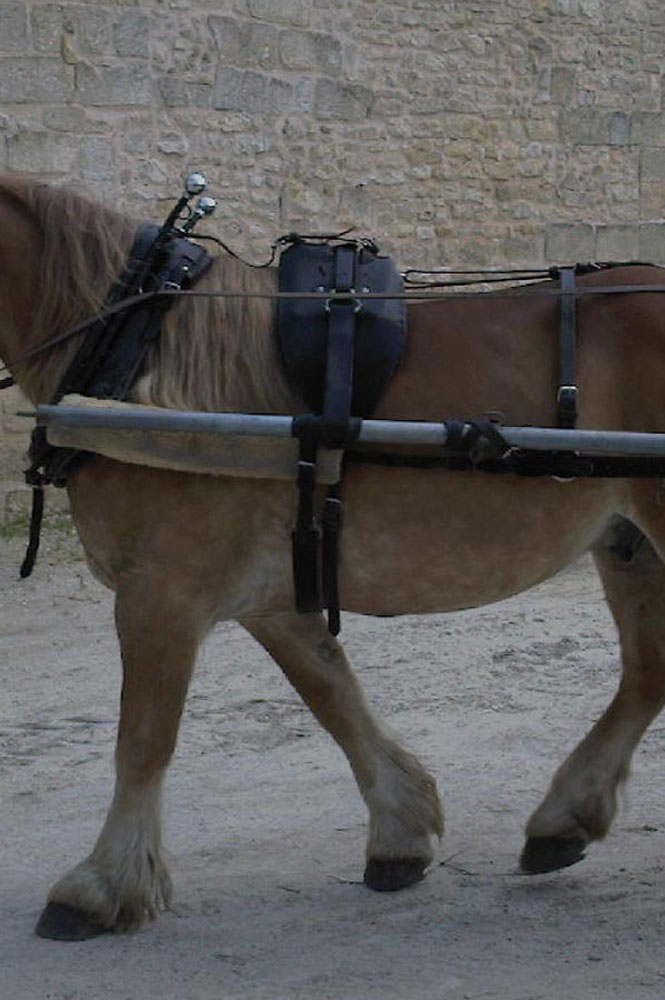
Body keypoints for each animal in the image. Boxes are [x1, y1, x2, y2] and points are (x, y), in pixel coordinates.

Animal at [3, 174, 665, 941]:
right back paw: (564, 819)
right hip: (627, 544)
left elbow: (143, 739)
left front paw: (101, 886)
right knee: (647, 675)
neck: (137, 346)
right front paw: (402, 830)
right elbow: (332, 693)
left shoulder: (161, 591)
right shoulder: (268, 593)